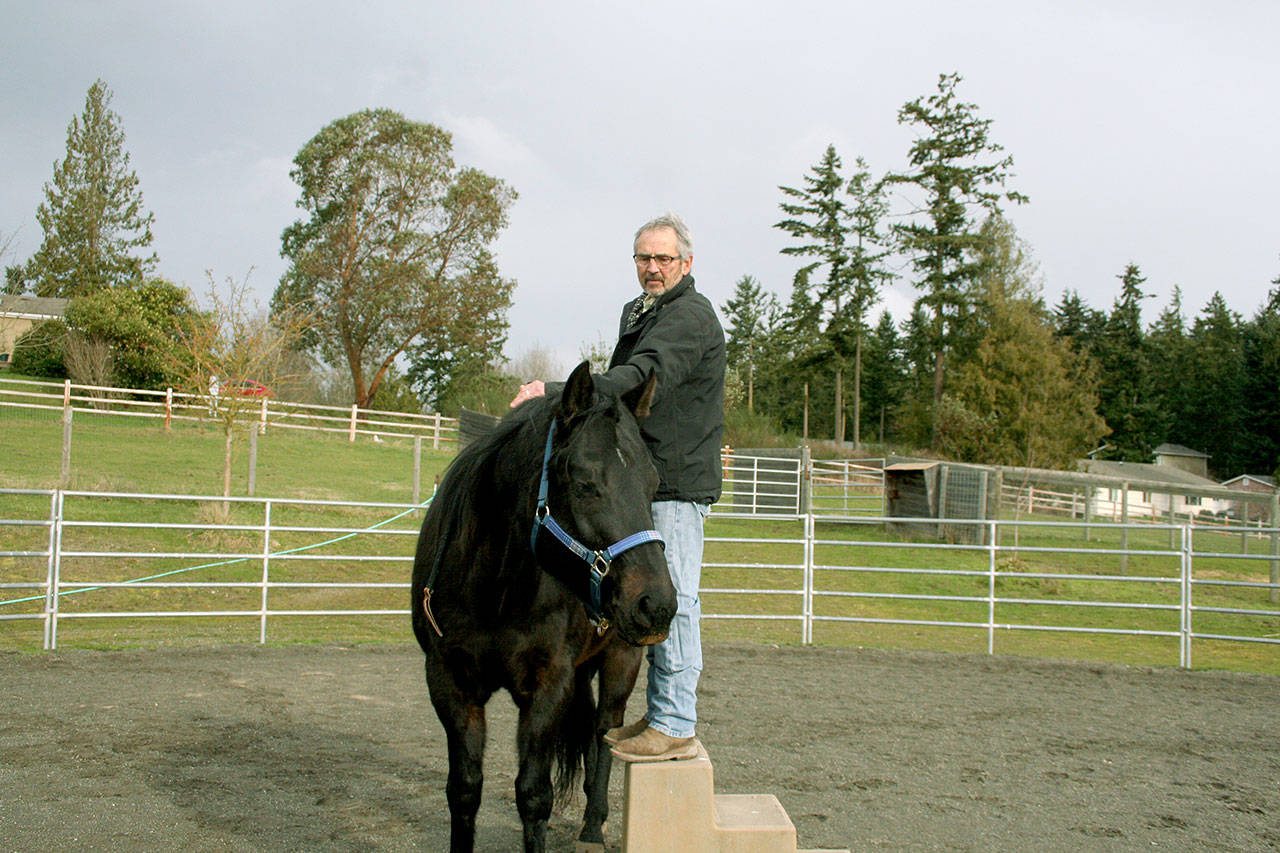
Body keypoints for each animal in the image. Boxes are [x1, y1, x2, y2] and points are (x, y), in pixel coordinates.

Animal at [412, 361, 680, 850]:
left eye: (652, 484)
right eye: (583, 482)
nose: (656, 605)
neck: (494, 590)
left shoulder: (547, 685)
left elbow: (535, 795)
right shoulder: (448, 681)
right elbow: (463, 790)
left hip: (621, 660)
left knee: (605, 732)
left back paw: (592, 828)